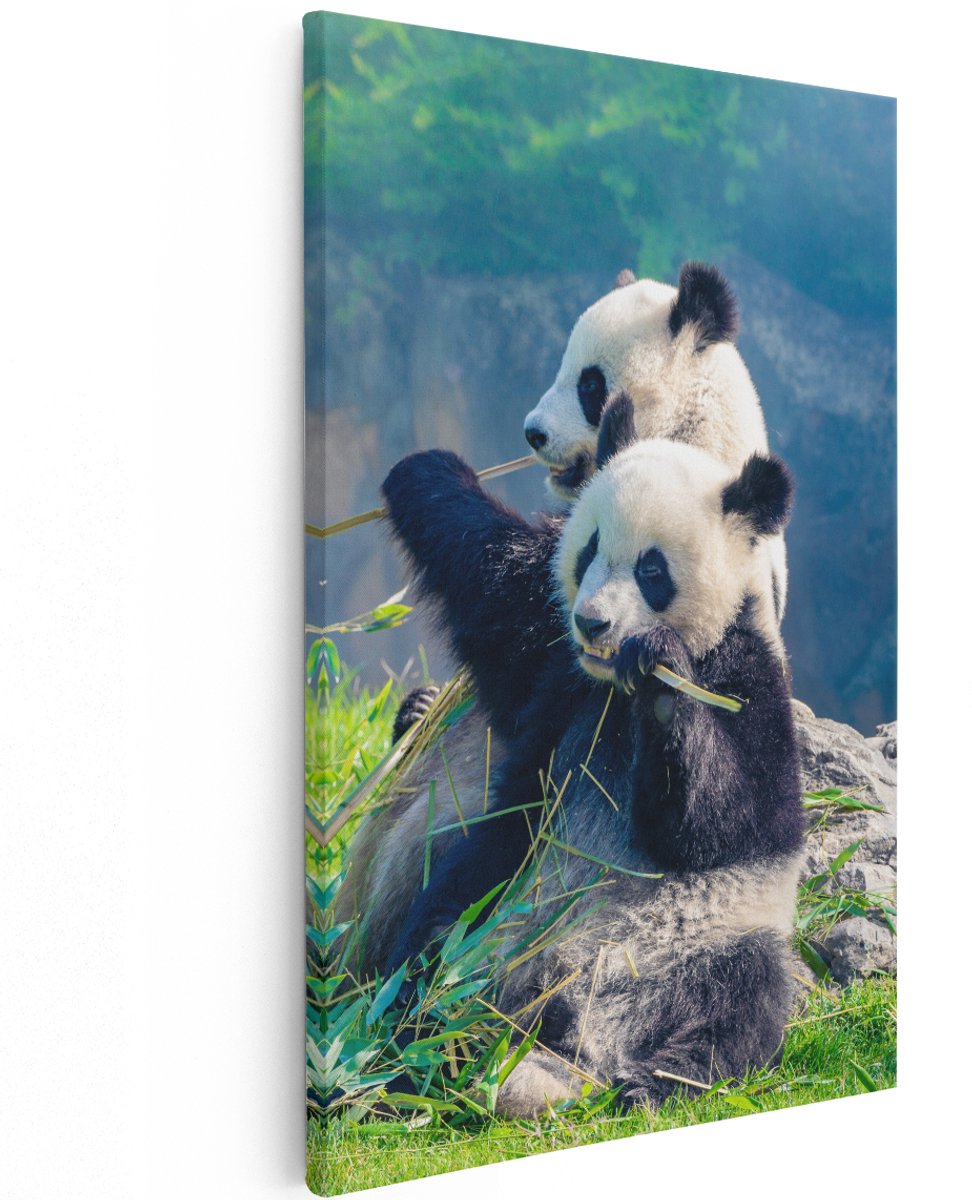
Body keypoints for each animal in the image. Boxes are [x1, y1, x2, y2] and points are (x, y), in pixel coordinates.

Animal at [381, 398, 805, 1114]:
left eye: (652, 570)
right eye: (587, 552)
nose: (593, 624)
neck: (612, 690)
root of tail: (569, 1028)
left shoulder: (749, 678)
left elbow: (728, 821)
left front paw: (662, 681)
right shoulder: (559, 678)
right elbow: (497, 588)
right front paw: (425, 470)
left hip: (712, 938)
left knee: (742, 1006)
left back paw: (652, 1083)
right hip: (497, 902)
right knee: (434, 943)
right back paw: (414, 1048)